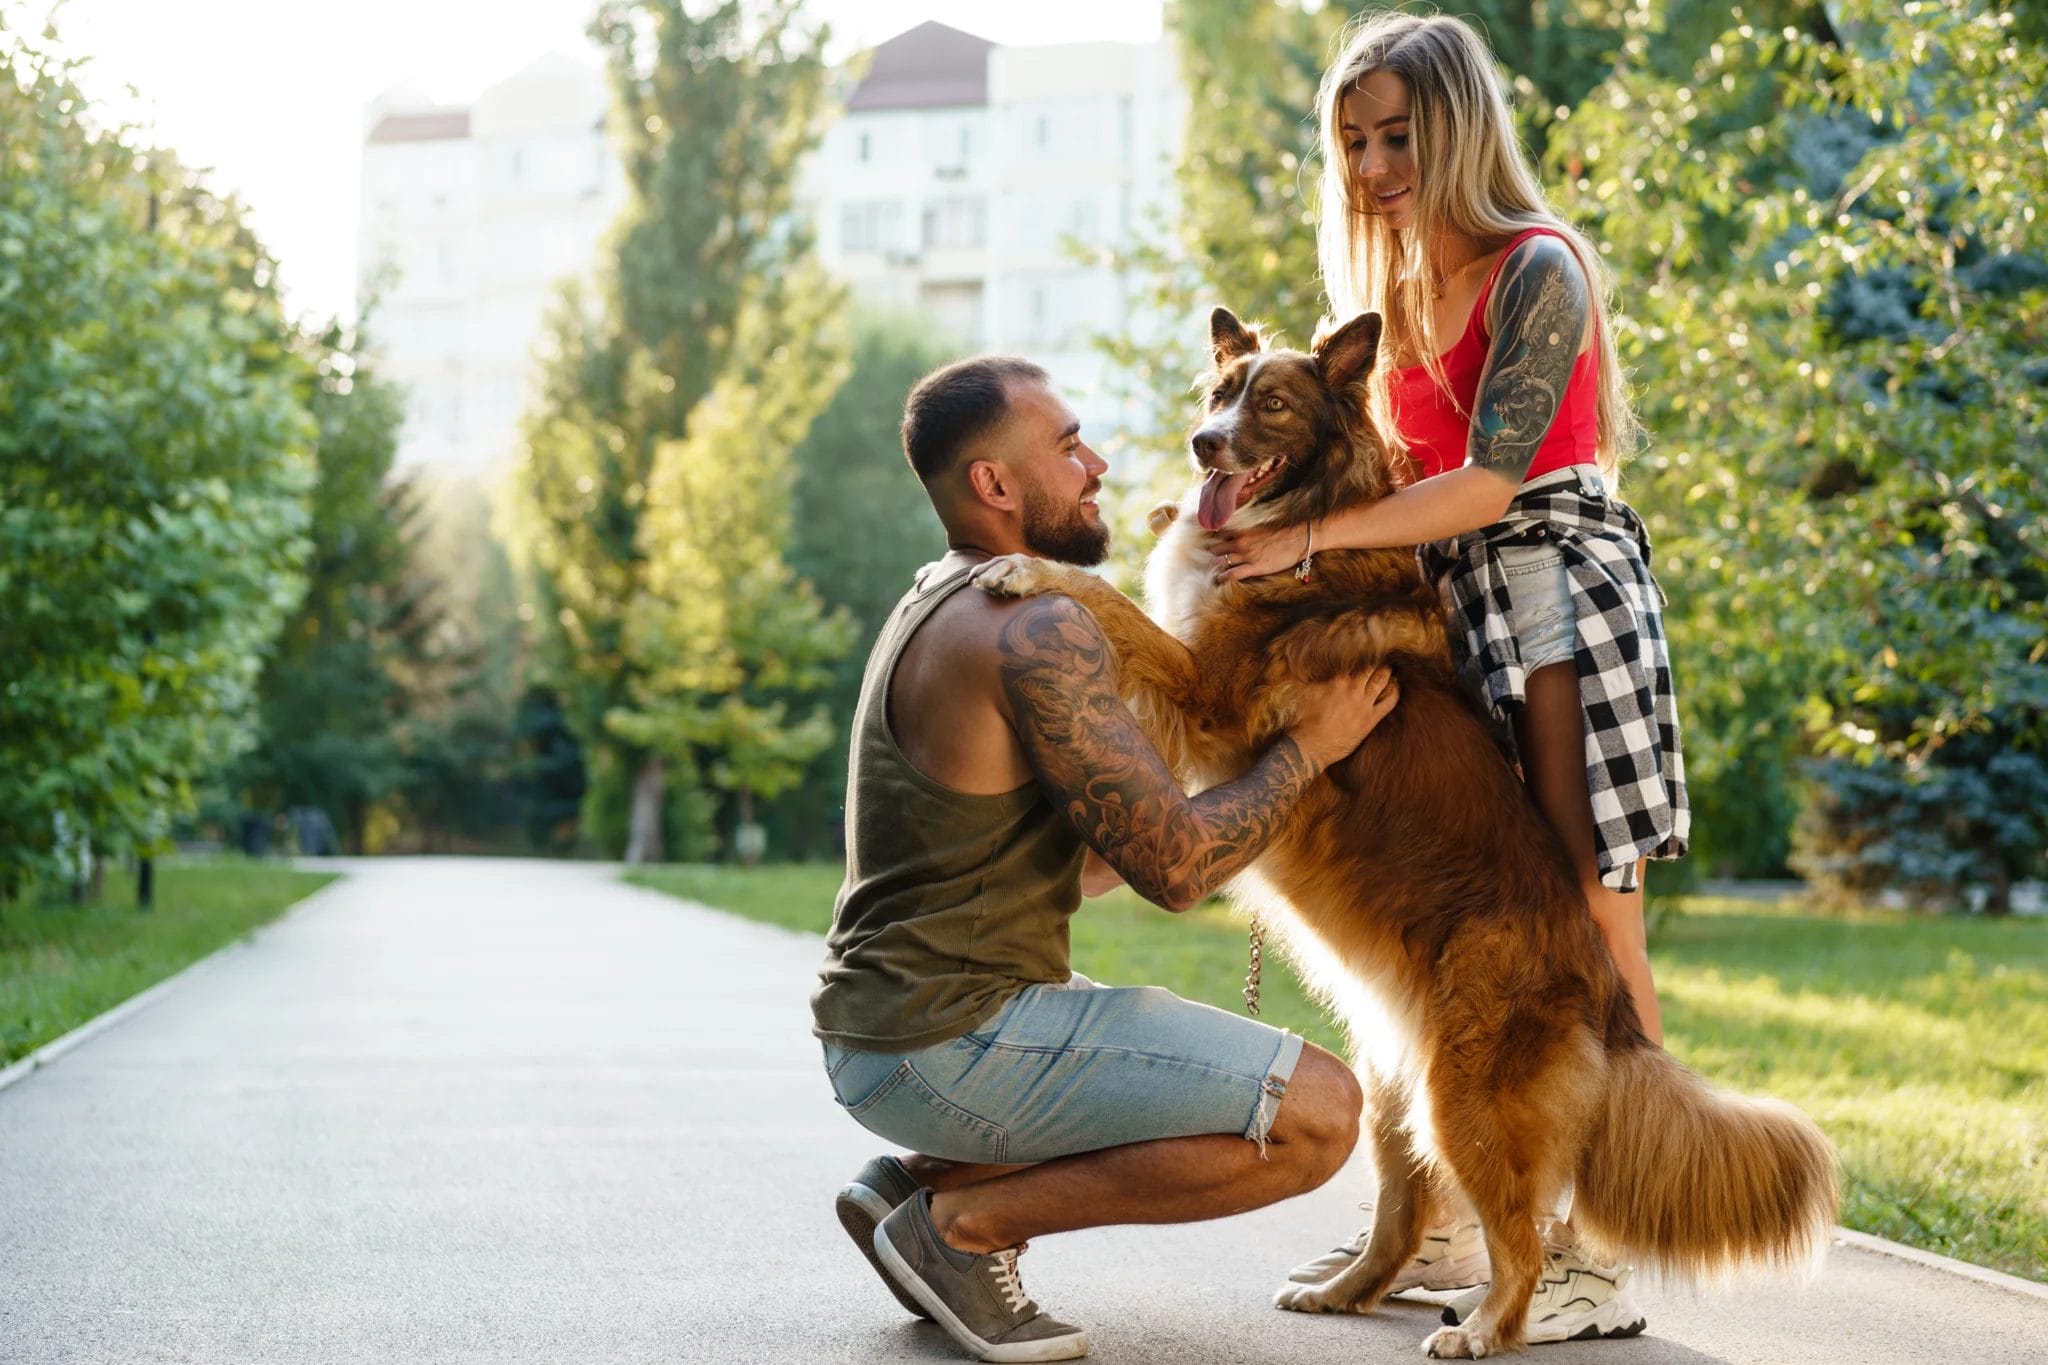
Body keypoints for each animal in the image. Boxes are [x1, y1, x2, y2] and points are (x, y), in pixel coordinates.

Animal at [974, 306, 1843, 1358]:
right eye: (1219, 394)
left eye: (1272, 404)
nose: (1203, 445)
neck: (1302, 531)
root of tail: (1601, 989)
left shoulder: (1205, 691)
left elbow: (1105, 602)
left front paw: (1027, 569)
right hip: (1396, 1087)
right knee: (1405, 1210)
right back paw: (1348, 1288)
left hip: (1461, 1096)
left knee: (1516, 1232)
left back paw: (1492, 1325)